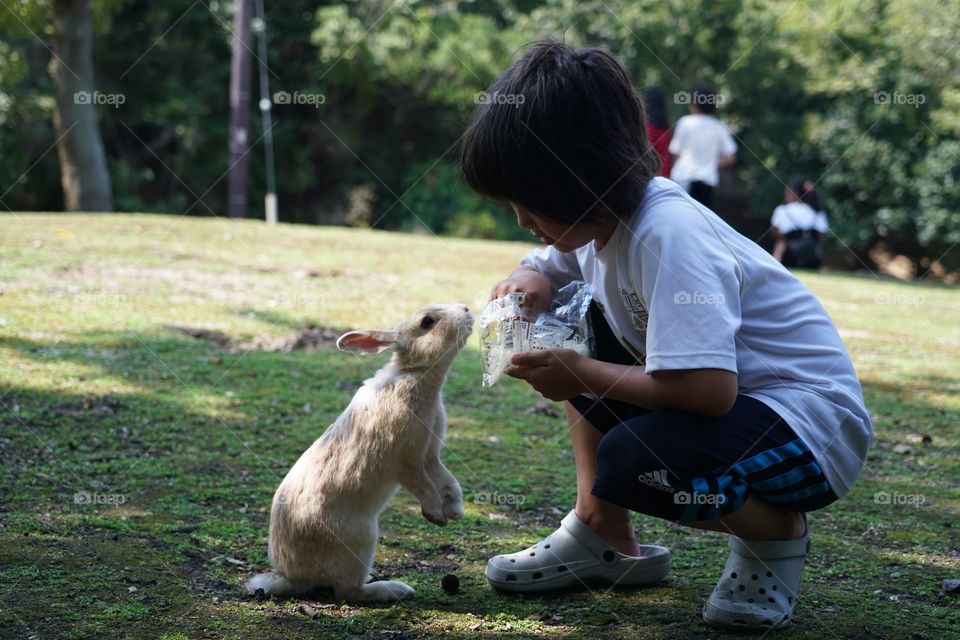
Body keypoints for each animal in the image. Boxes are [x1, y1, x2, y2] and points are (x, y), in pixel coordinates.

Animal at [245, 303, 474, 603]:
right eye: (427, 322)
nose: (467, 310)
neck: (414, 373)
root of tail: (292, 577)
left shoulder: (430, 455)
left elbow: (448, 480)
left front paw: (455, 511)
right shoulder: (405, 461)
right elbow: (423, 485)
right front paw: (435, 515)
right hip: (362, 538)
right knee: (347, 591)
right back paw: (395, 589)